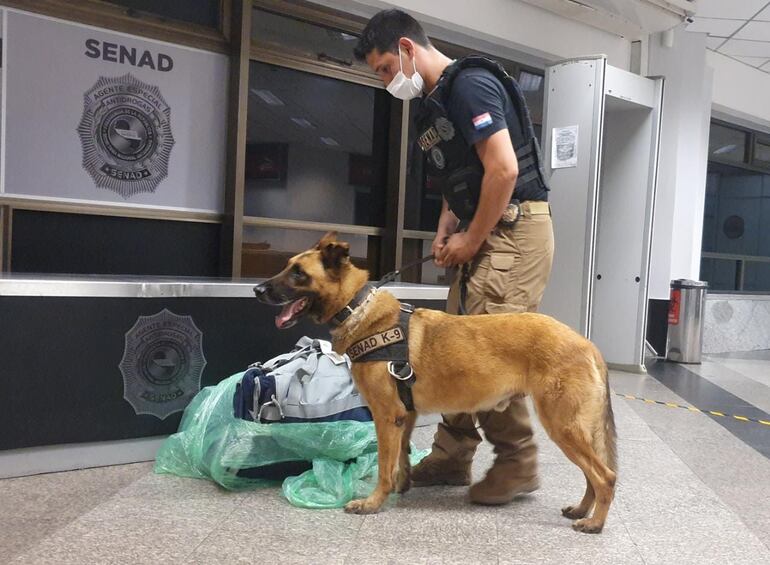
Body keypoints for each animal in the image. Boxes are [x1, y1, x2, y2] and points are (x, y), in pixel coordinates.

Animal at [255, 231, 616, 532]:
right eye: (287, 266)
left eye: (298, 272)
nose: (257, 290)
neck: (357, 308)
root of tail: (588, 345)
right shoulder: (406, 415)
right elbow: (400, 457)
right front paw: (402, 486)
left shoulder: (386, 417)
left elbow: (384, 465)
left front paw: (374, 502)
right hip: (574, 429)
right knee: (592, 475)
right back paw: (582, 510)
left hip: (563, 425)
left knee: (605, 476)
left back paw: (595, 522)